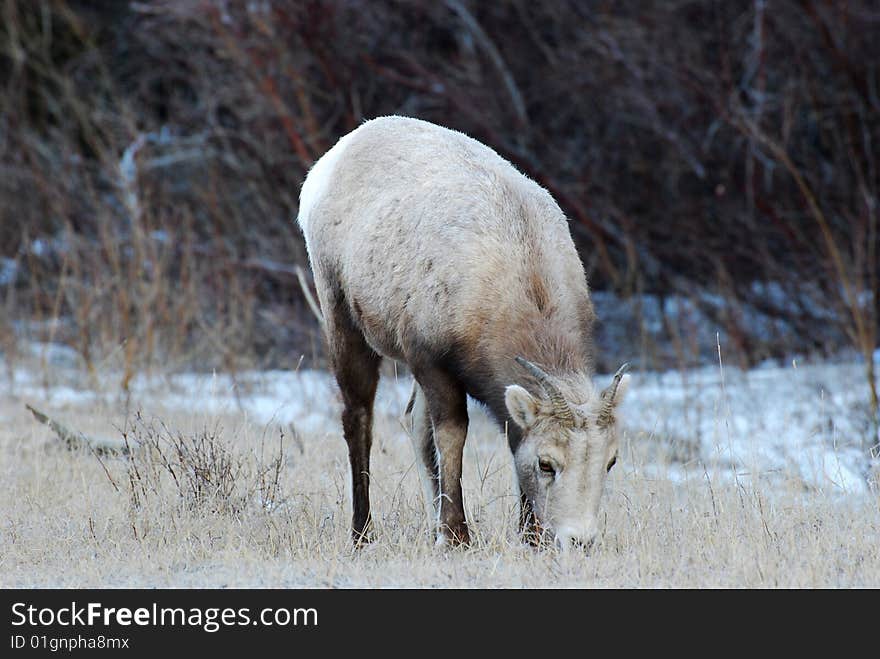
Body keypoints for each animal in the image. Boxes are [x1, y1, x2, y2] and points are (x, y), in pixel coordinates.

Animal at [300, 116, 628, 548]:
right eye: (546, 463)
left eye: (610, 461)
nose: (579, 540)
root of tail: (325, 166)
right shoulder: (431, 362)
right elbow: (451, 437)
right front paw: (457, 536)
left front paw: (527, 534)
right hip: (341, 316)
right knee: (359, 417)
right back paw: (363, 532)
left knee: (412, 422)